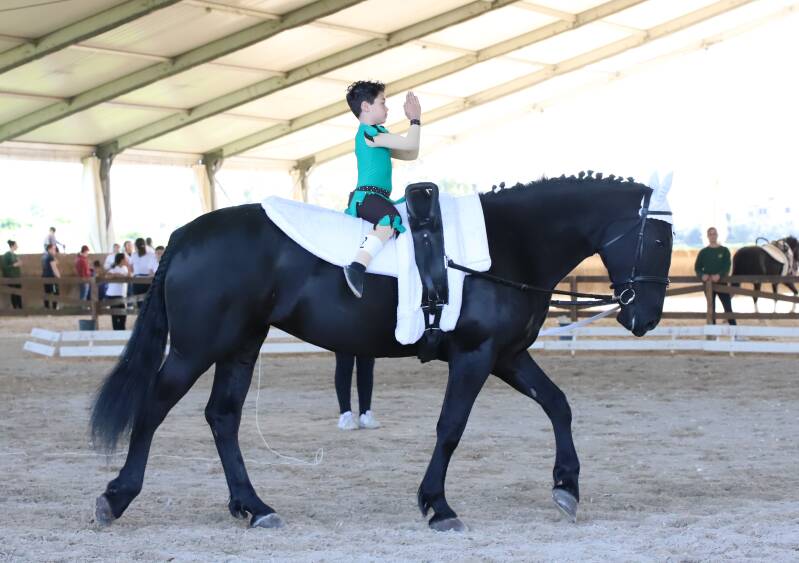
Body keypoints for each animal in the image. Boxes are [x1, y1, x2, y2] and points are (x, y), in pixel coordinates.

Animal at [90, 174, 673, 532]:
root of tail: (187, 234)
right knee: (153, 408)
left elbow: (558, 404)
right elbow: (451, 428)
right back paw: (115, 497)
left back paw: (253, 508)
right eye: (658, 241)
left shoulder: (506, 356)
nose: (644, 319)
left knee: (222, 417)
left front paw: (566, 486)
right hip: (197, 348)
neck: (510, 244)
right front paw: (437, 506)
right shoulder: (475, 355)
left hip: (240, 345)